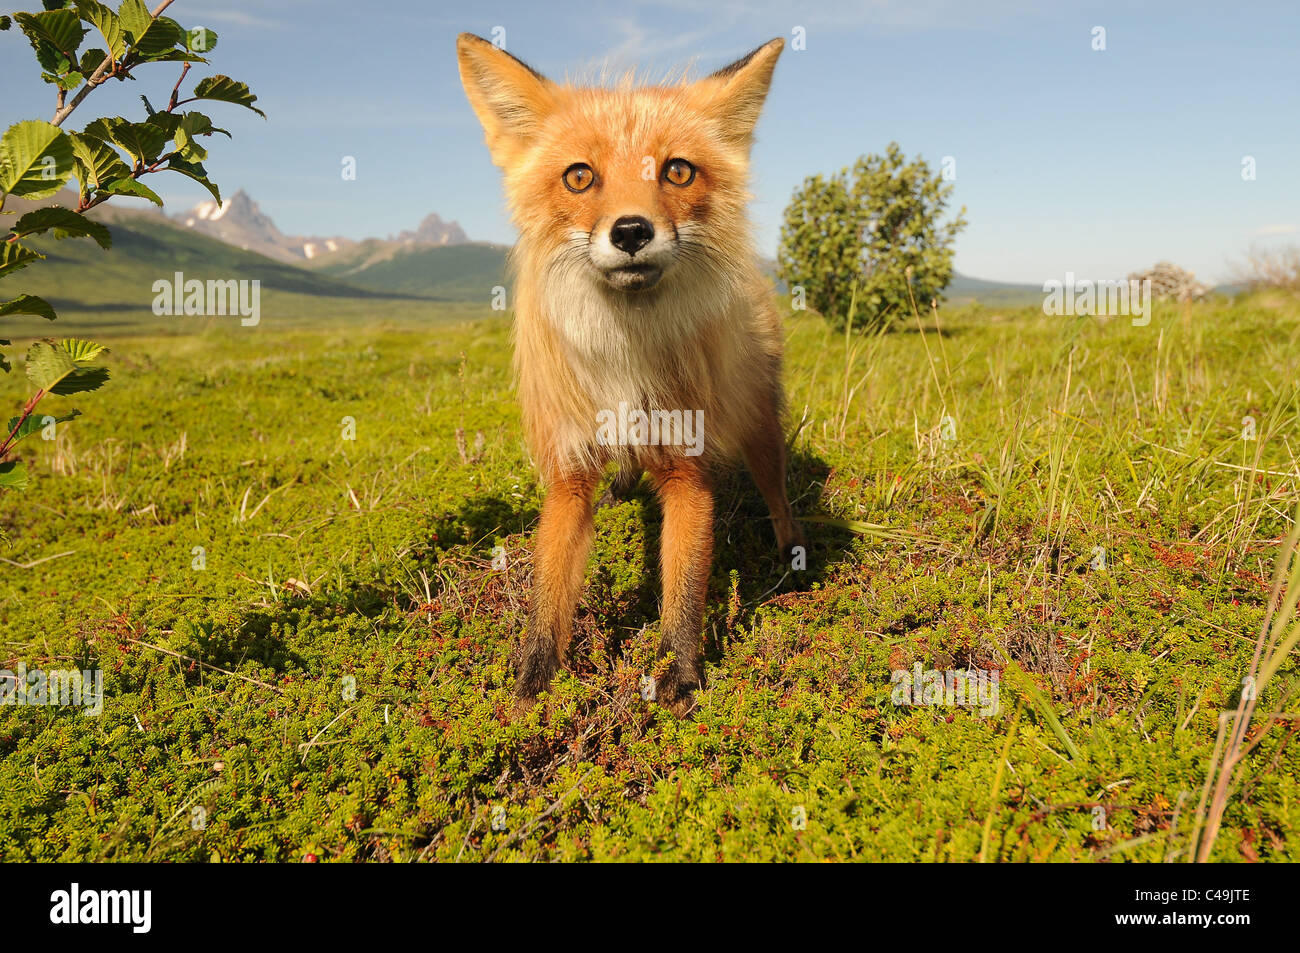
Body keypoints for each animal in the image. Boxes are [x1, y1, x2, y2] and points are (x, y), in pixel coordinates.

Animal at [457, 33, 800, 712]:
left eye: (677, 170)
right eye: (579, 176)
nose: (633, 231)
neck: (623, 359)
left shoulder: (688, 468)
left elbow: (683, 589)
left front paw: (678, 673)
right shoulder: (567, 471)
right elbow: (550, 593)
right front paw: (533, 686)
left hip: (758, 424)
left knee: (776, 489)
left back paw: (787, 552)